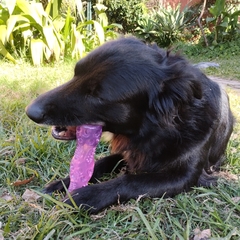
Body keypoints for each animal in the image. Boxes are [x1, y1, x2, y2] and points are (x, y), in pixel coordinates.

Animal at [25, 37, 233, 214]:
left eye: (97, 96)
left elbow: (132, 181)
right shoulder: (128, 150)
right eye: (76, 74)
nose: (30, 112)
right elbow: (102, 162)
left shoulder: (186, 176)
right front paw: (64, 182)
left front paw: (88, 196)